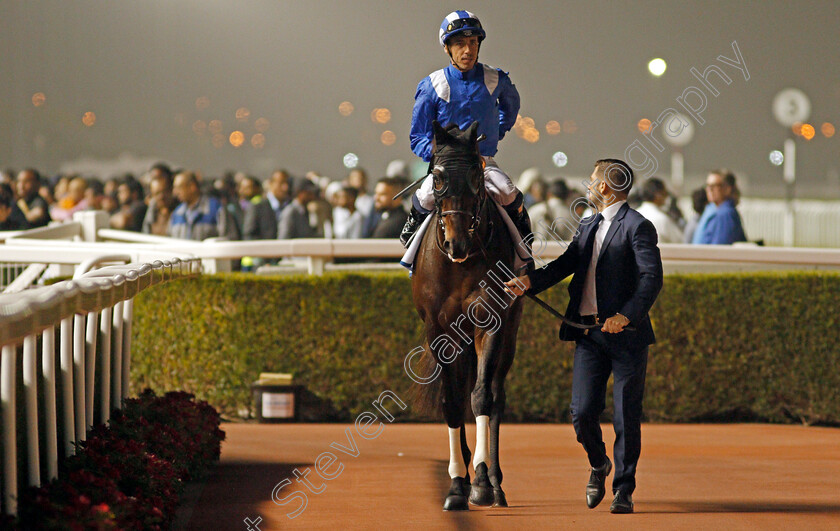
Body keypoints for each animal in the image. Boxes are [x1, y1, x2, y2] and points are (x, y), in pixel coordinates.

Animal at [412, 119, 524, 512]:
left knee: (495, 393)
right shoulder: (438, 330)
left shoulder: (491, 322)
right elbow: (452, 401)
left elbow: (482, 397)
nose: (456, 244)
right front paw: (456, 485)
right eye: (438, 177)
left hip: (510, 330)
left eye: (477, 174)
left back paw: (496, 482)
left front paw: (480, 481)